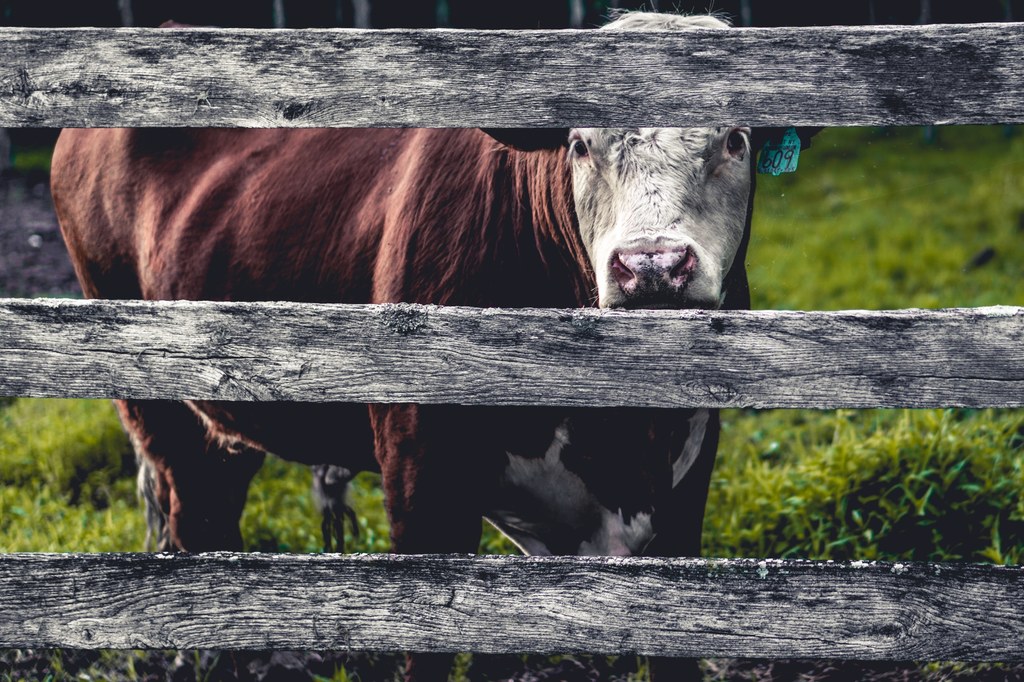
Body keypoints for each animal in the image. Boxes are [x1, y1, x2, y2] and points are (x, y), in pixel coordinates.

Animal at [49, 9, 815, 675]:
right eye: (578, 144)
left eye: (736, 140)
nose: (652, 266)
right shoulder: (419, 470)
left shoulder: (688, 478)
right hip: (151, 397)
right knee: (192, 516)